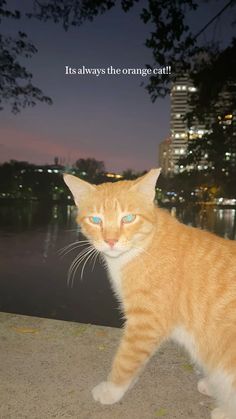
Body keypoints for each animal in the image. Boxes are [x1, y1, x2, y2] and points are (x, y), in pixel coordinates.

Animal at [63, 169, 236, 418]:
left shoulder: (145, 324)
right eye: (96, 220)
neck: (143, 247)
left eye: (128, 218)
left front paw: (112, 390)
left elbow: (125, 360)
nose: (111, 241)